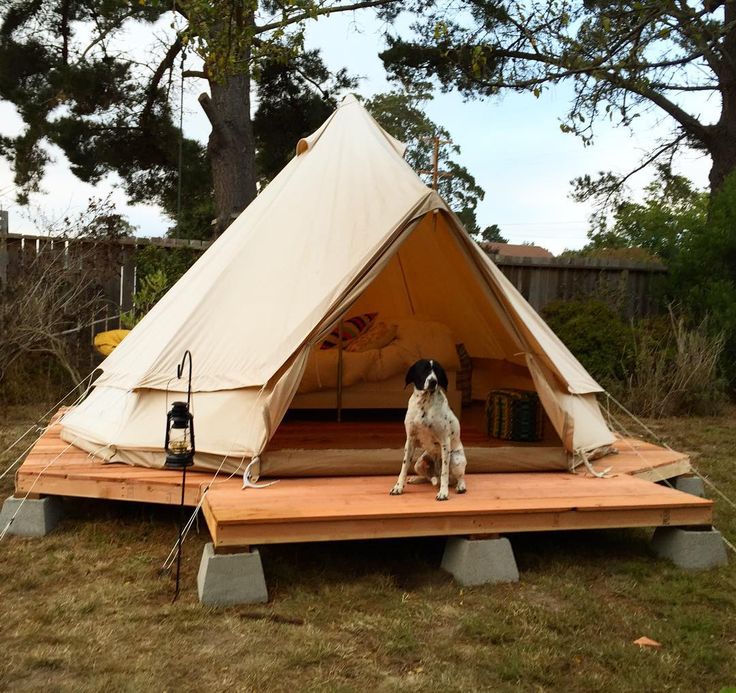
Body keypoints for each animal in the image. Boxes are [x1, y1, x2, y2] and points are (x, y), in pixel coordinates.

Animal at [392, 360, 466, 500]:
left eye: (437, 371)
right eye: (423, 369)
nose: (433, 381)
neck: (424, 403)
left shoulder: (445, 442)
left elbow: (444, 473)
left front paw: (443, 493)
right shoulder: (410, 440)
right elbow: (404, 468)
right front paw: (398, 487)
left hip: (455, 459)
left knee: (458, 477)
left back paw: (460, 486)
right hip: (419, 463)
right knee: (428, 477)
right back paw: (416, 479)